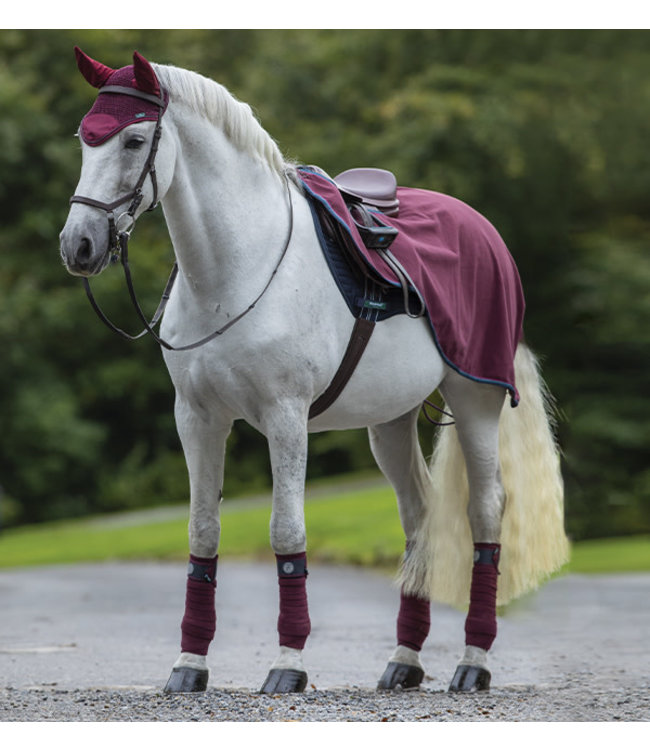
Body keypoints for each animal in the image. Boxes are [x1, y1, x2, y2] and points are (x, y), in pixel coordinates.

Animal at [60, 48, 568, 700]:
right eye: (85, 139)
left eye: (133, 139)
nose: (79, 246)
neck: (236, 268)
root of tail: (486, 234)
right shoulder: (197, 419)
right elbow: (202, 532)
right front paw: (189, 665)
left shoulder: (285, 417)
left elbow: (287, 533)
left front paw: (288, 663)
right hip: (391, 421)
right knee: (418, 516)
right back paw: (404, 661)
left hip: (475, 399)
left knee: (485, 511)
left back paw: (473, 662)